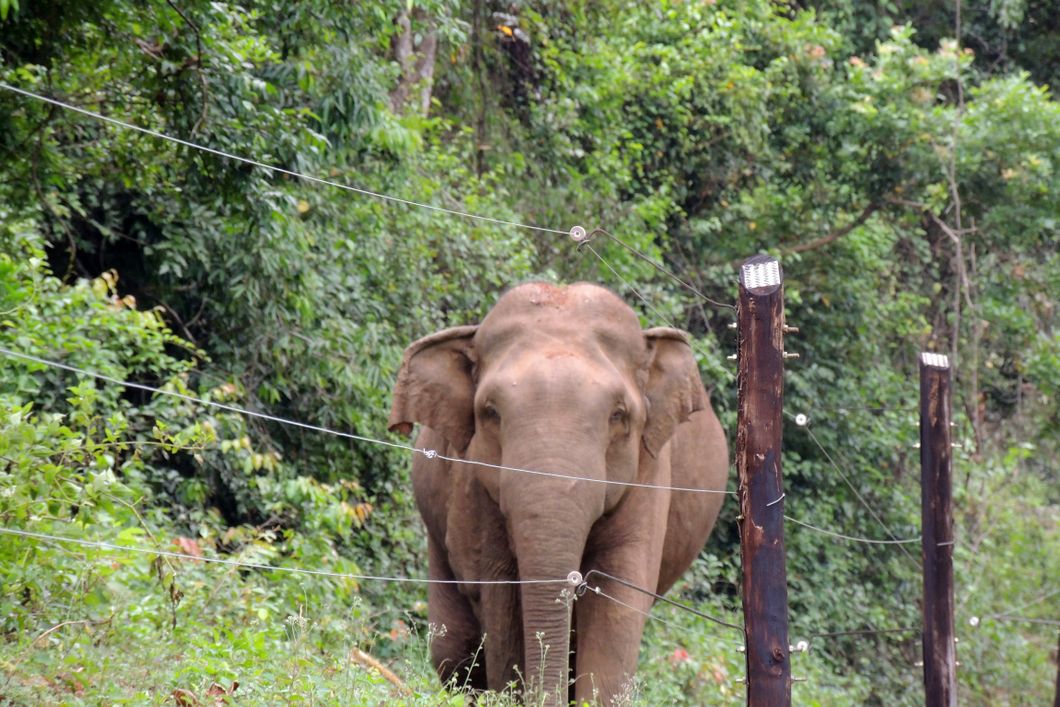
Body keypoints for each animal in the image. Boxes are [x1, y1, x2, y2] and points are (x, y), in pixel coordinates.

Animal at [388, 282, 729, 705]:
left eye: (618, 415)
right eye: (491, 412)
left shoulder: (649, 474)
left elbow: (617, 598)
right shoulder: (477, 485)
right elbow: (500, 592)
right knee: (454, 651)